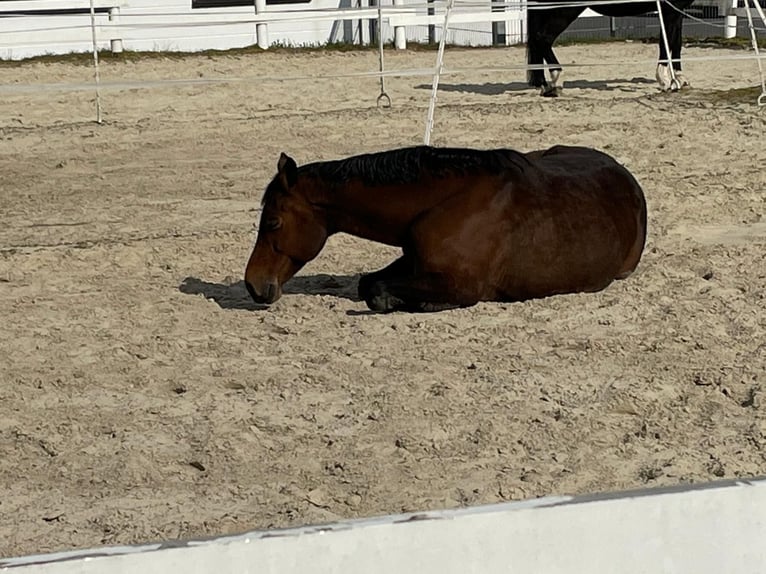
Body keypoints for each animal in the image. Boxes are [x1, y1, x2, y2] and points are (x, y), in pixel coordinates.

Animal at [244, 145, 648, 316]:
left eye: (273, 222)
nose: (253, 284)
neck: (449, 200)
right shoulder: (414, 262)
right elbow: (369, 282)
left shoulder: (463, 285)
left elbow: (377, 290)